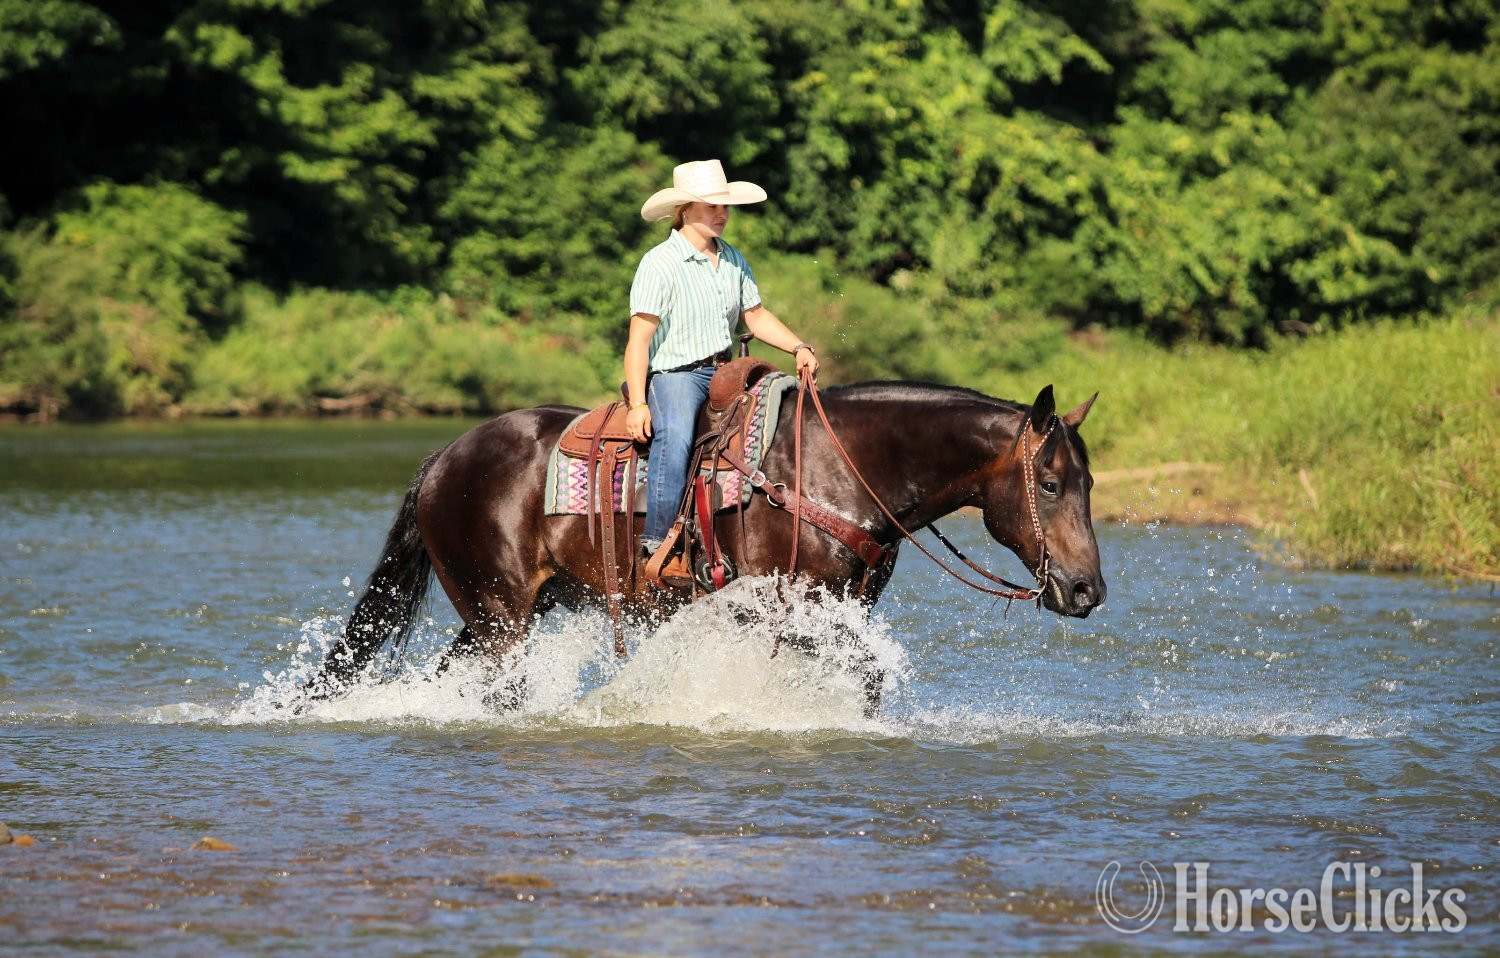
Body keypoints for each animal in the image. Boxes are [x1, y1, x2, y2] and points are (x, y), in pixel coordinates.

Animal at [305, 381, 1105, 711]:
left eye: (1091, 482)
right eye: (1052, 484)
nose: (1087, 589)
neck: (835, 466)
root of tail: (443, 458)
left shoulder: (843, 607)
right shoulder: (782, 605)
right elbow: (865, 675)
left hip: (502, 613)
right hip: (499, 615)